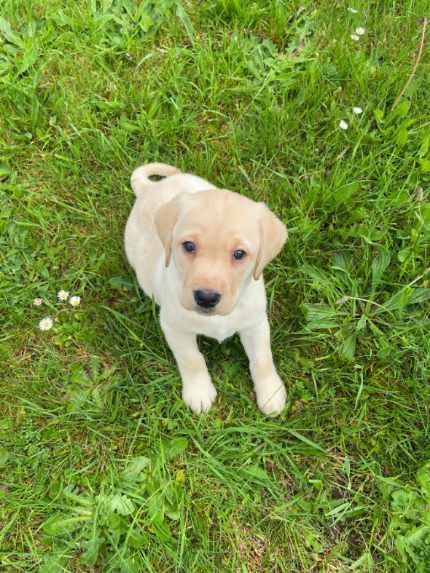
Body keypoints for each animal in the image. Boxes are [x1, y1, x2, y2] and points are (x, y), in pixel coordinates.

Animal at [122, 163, 288, 414]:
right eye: (189, 246)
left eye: (239, 253)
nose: (206, 297)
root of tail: (149, 189)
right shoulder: (174, 327)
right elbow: (191, 359)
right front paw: (199, 393)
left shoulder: (256, 323)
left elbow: (262, 359)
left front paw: (271, 394)